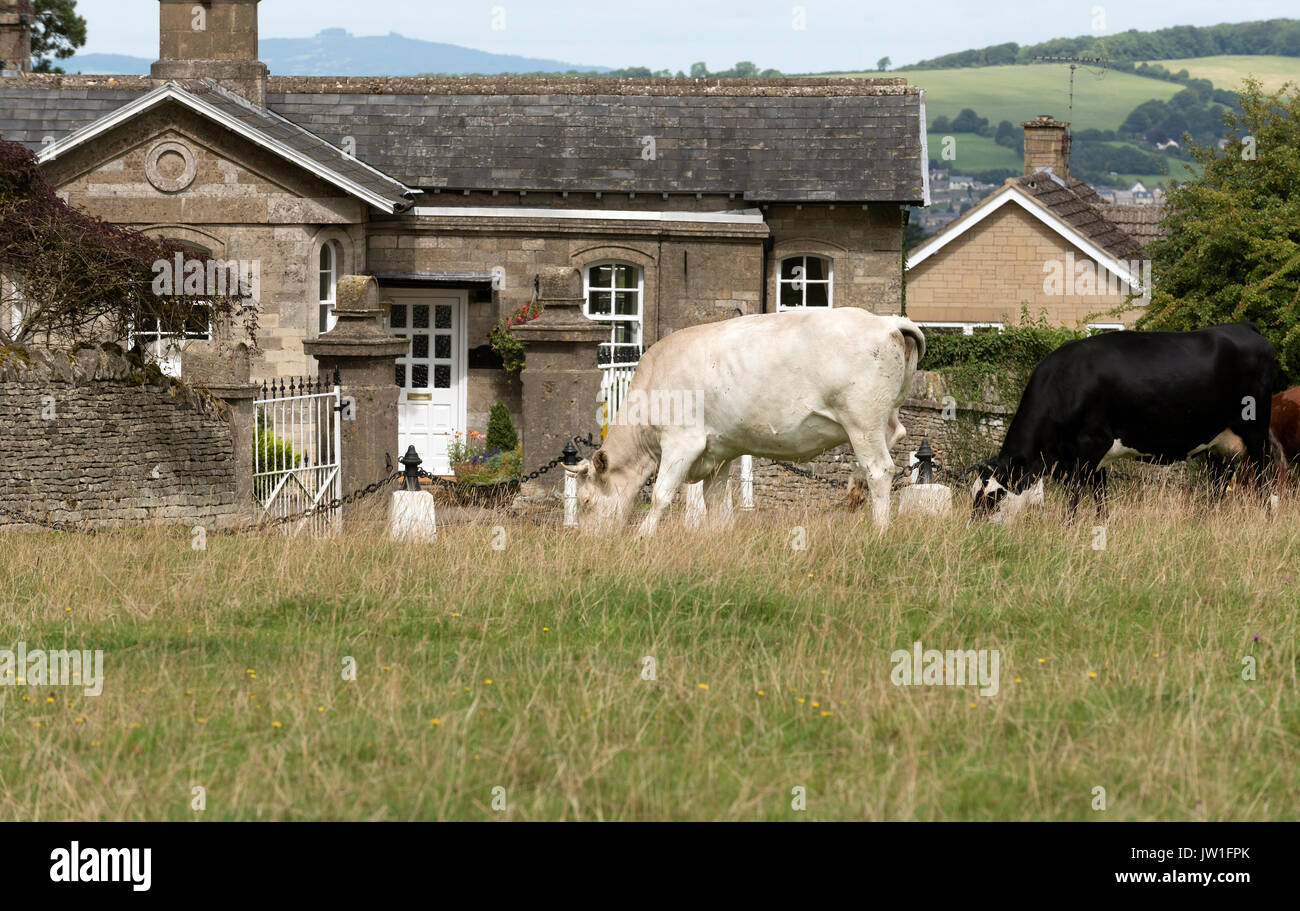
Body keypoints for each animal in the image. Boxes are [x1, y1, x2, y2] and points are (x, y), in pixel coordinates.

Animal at [566, 307, 925, 532]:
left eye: (585, 500)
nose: (589, 542)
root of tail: (887, 321)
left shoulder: (682, 442)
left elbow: (660, 495)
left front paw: (643, 536)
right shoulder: (718, 455)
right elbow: (714, 504)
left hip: (862, 421)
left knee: (880, 469)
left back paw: (879, 529)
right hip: (879, 419)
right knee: (893, 437)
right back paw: (856, 486)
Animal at [972, 320, 1274, 519]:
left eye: (994, 496)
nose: (976, 528)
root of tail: (1243, 326)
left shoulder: (1090, 446)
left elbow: (1075, 494)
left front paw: (1068, 527)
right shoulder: (1092, 456)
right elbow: (1100, 495)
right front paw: (1101, 524)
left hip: (1256, 432)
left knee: (1265, 477)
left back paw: (1266, 520)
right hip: (1219, 442)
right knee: (1218, 483)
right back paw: (1203, 521)